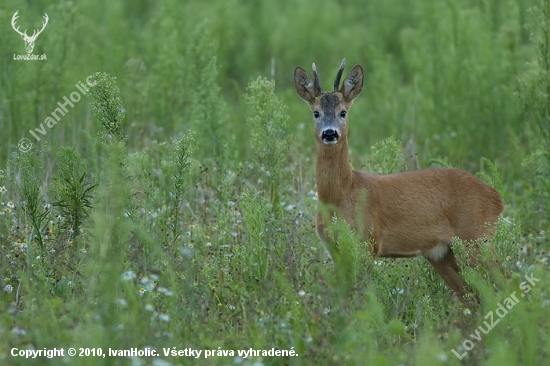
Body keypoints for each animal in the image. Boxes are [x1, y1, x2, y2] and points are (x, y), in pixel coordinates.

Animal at [296, 58, 506, 298]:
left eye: (343, 112)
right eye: (316, 113)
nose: (329, 133)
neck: (340, 195)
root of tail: (496, 197)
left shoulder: (368, 242)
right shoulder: (334, 249)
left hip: (477, 238)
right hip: (442, 253)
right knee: (472, 295)